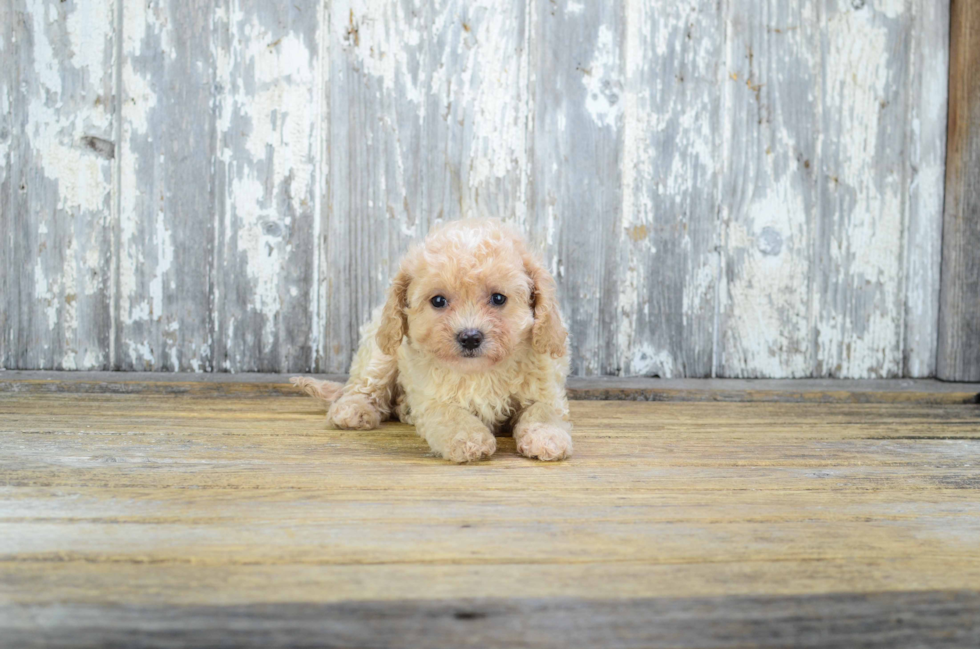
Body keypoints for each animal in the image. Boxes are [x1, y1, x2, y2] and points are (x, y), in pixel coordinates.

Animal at [290, 220, 572, 464]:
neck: (480, 371)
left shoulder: (544, 387)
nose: (470, 337)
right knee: (364, 386)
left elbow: (544, 410)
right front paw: (469, 439)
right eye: (438, 301)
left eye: (499, 298)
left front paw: (548, 437)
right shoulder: (432, 396)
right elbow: (451, 414)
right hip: (382, 354)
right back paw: (352, 410)